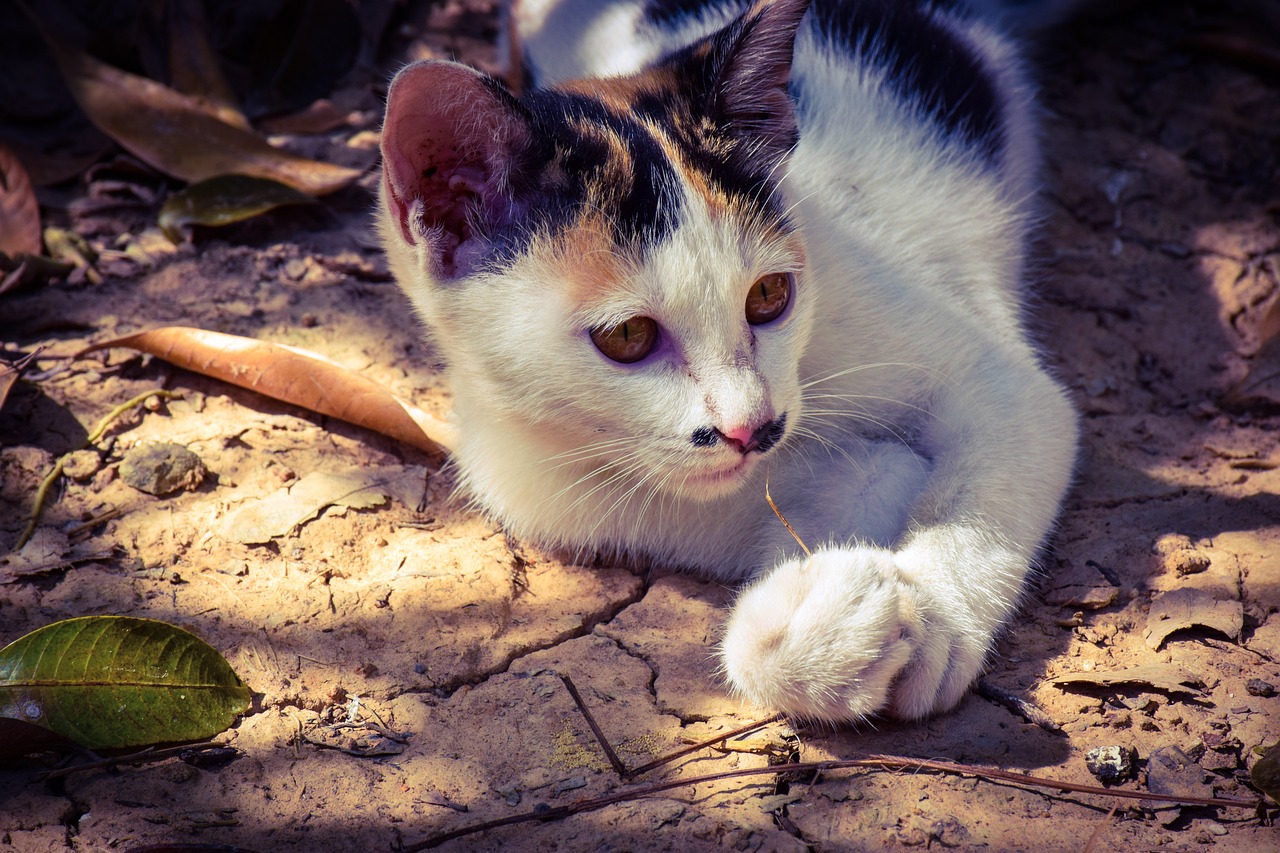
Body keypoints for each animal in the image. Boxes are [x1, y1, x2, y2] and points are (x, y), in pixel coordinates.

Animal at [373, 0, 1075, 717]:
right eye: (628, 337)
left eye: (770, 296)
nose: (753, 427)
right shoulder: (544, 481)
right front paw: (825, 617)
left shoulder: (998, 381)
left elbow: (1001, 449)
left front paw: (935, 614)